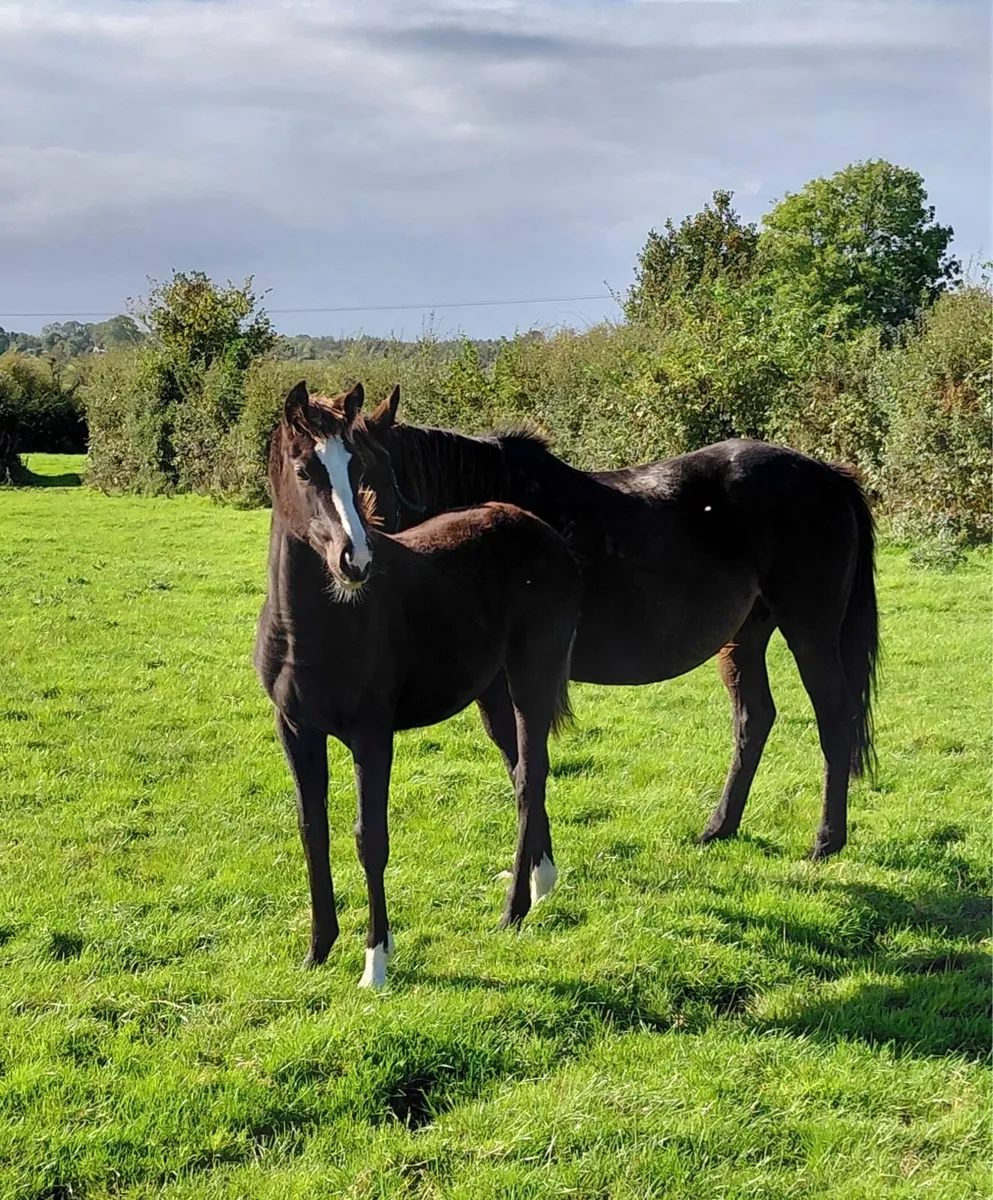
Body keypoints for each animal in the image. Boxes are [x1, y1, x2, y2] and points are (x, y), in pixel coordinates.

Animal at [253, 381, 582, 987]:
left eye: (356, 465)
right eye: (305, 469)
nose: (354, 561)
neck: (310, 627)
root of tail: (546, 535)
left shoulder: (371, 734)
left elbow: (370, 839)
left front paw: (375, 963)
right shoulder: (295, 729)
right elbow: (313, 831)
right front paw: (317, 950)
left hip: (532, 676)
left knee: (532, 775)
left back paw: (513, 911)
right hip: (493, 694)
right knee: (522, 770)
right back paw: (538, 883)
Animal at [370, 386, 879, 860]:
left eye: (372, 472)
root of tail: (829, 476)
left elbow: (521, 757)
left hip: (810, 632)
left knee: (835, 717)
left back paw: (826, 840)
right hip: (744, 639)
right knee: (755, 720)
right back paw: (719, 827)